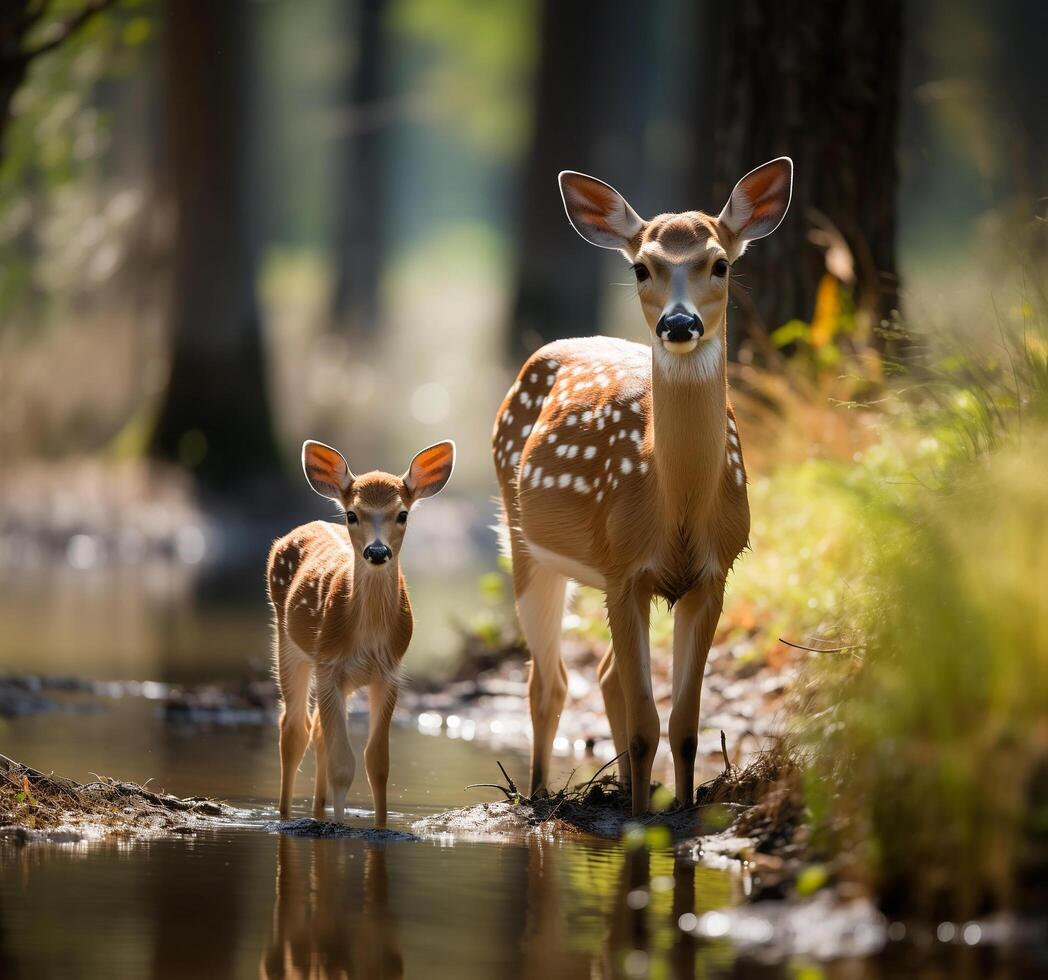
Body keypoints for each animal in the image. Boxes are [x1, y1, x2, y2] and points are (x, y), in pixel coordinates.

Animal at [494, 159, 788, 813]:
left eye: (720, 263)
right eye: (641, 266)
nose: (679, 323)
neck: (673, 504)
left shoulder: (712, 574)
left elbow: (683, 723)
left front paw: (679, 808)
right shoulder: (624, 568)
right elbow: (644, 725)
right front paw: (634, 821)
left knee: (602, 677)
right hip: (525, 542)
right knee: (548, 681)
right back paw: (538, 796)